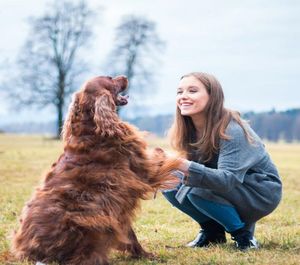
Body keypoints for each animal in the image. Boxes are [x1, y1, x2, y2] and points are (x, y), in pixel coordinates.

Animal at [11, 75, 179, 262]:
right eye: (110, 78)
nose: (125, 77)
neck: (91, 129)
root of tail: (28, 253)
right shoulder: (143, 170)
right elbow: (163, 157)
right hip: (88, 220)